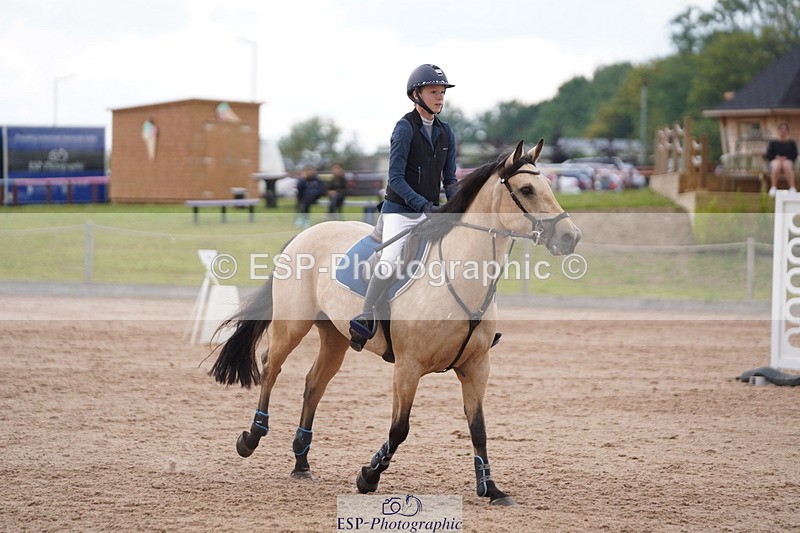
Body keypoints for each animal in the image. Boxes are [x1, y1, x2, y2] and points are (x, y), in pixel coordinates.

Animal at [210, 140, 581, 506]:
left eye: (550, 186)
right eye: (527, 189)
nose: (570, 237)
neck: (459, 276)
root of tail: (306, 233)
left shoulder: (476, 367)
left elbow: (479, 429)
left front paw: (491, 488)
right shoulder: (408, 367)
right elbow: (399, 428)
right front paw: (368, 476)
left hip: (335, 336)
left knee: (314, 384)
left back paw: (301, 461)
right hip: (292, 325)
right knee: (271, 366)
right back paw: (251, 437)